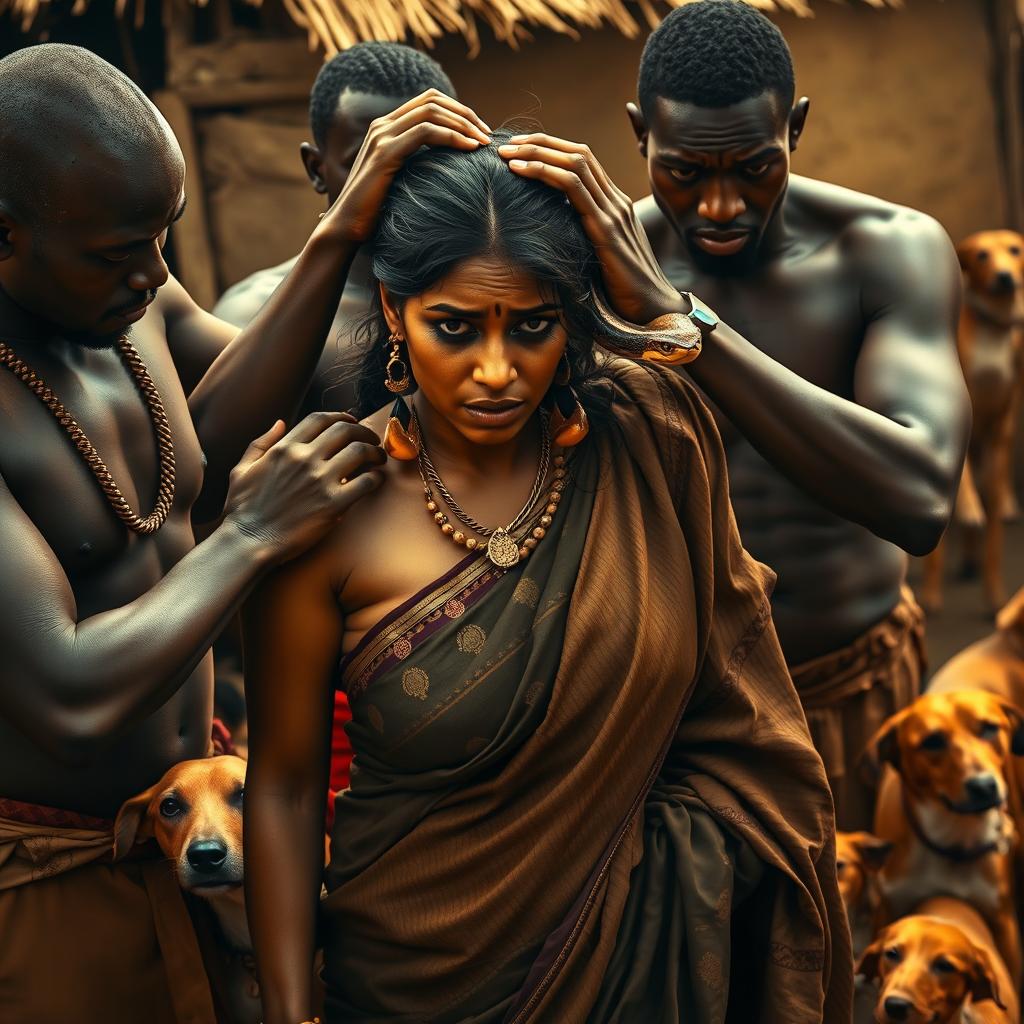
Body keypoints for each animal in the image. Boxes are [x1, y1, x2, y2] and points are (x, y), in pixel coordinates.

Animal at [864, 688, 1024, 983]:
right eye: (932, 741)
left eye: (989, 728)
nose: (984, 786)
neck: (953, 839)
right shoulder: (891, 907)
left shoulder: (1001, 921)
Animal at [925, 228, 1024, 610]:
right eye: (981, 256)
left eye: (1015, 250)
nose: (1005, 277)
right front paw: (968, 506)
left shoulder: (1002, 423)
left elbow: (994, 545)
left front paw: (995, 595)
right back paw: (932, 592)